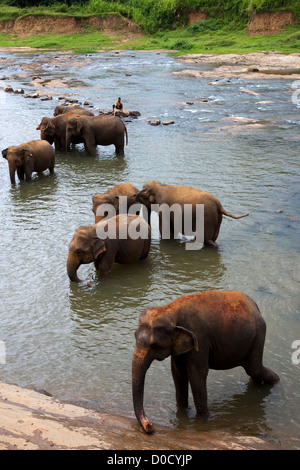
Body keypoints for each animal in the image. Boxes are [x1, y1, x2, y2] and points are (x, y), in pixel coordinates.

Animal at [132, 290, 280, 434]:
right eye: (134, 336)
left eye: (154, 346)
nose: (150, 426)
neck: (170, 309)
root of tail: (255, 306)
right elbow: (178, 373)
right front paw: (182, 412)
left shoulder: (200, 339)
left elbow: (197, 375)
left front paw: (202, 420)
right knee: (253, 371)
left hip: (258, 336)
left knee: (254, 368)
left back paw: (276, 382)